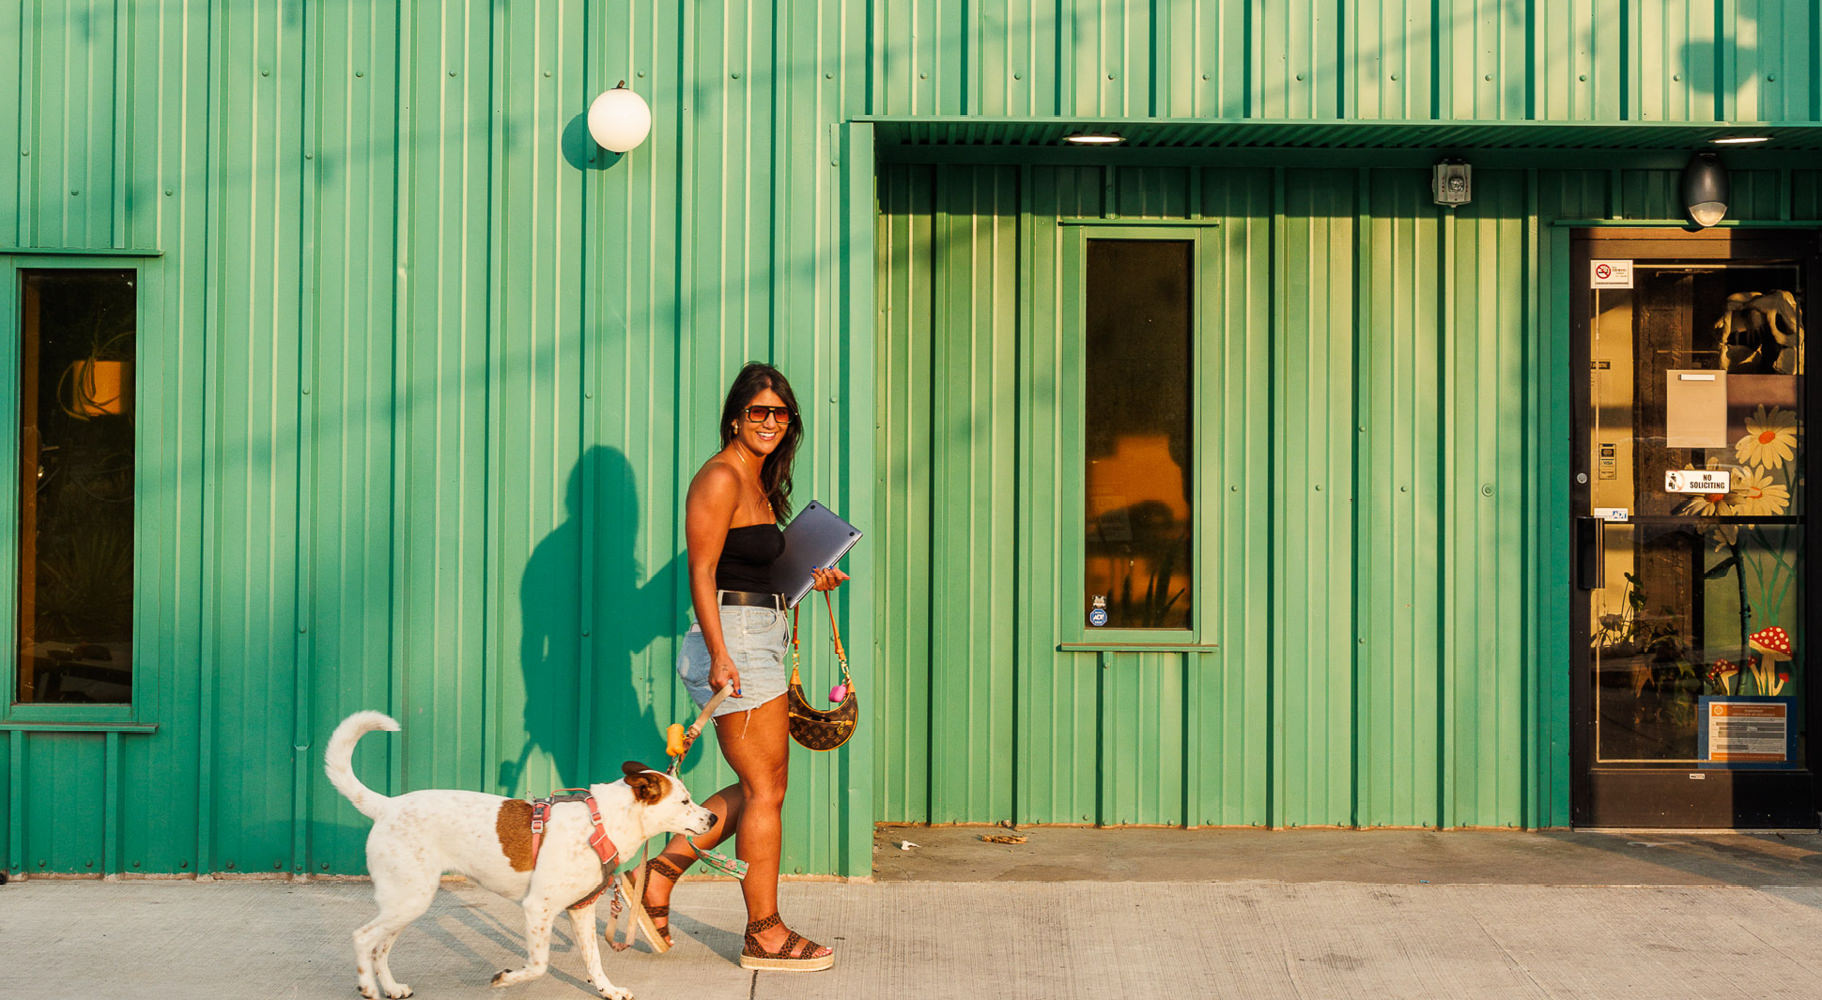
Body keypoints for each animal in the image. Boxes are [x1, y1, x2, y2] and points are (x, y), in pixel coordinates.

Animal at [327, 710, 710, 998]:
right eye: (685, 801)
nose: (713, 818)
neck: (602, 822)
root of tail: (386, 806)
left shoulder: (581, 910)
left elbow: (594, 961)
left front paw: (609, 991)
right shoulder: (538, 908)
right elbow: (539, 965)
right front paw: (507, 978)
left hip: (407, 903)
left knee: (380, 947)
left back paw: (391, 988)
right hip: (409, 899)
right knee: (363, 938)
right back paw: (368, 987)